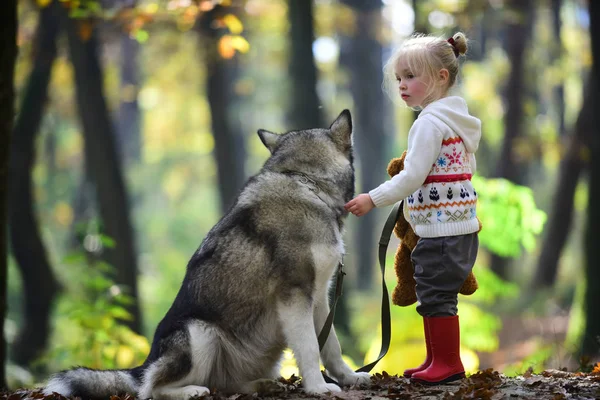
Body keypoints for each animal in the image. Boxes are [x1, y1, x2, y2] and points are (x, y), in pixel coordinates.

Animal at [43, 110, 370, 400]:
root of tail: (145, 362)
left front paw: (349, 377)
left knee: (224, 384)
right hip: (200, 332)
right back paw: (190, 391)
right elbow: (310, 347)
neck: (305, 182)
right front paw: (318, 387)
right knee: (151, 389)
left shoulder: (320, 297)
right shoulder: (295, 295)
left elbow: (331, 346)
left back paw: (261, 385)